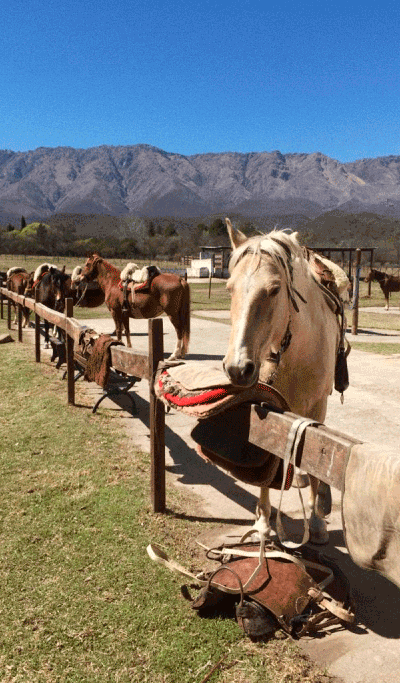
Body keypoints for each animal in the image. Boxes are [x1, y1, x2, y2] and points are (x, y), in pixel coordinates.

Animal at [223, 219, 348, 544]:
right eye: (229, 289)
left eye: (275, 289)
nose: (238, 369)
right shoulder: (268, 405)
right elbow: (270, 452)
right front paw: (263, 524)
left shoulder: (317, 408)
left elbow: (318, 452)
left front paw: (316, 522)